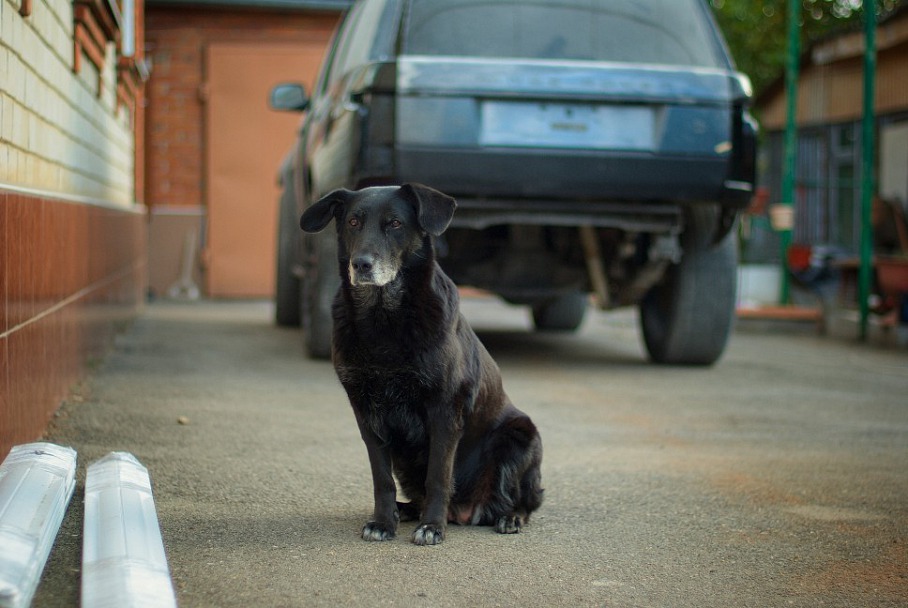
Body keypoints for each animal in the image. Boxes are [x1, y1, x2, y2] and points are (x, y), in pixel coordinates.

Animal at [302, 183, 544, 544]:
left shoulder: (443, 411)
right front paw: (382, 521)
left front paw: (432, 526)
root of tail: (467, 512)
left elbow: (438, 476)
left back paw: (509, 517)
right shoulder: (366, 414)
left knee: (526, 501)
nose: (361, 265)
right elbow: (381, 479)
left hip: (520, 436)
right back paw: (403, 511)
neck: (384, 317)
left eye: (395, 224)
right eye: (354, 222)